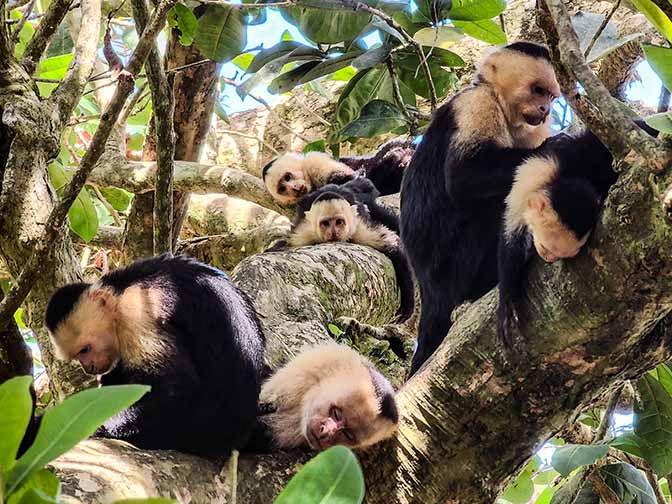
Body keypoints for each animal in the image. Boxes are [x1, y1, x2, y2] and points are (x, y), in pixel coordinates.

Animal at [43, 256, 266, 456]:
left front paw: (97, 425)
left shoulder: (136, 310)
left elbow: (176, 384)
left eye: (85, 350)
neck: (120, 292)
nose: (88, 368)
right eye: (77, 356)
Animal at [270, 177, 414, 320]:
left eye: (339, 222)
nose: (333, 232)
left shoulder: (360, 230)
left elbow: (394, 246)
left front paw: (408, 301)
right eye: (325, 223)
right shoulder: (303, 234)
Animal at [400, 41, 560, 376]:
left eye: (552, 96)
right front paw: (559, 144)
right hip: (452, 269)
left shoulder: (532, 129)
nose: (546, 110)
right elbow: (464, 175)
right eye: (537, 90)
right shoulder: (476, 104)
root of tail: (429, 294)